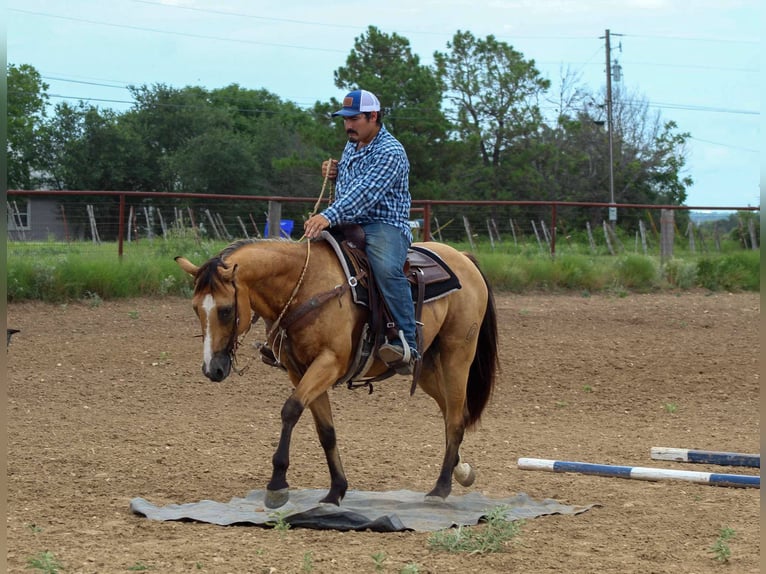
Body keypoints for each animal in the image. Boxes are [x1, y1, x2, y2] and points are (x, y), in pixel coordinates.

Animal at [175, 236, 498, 509]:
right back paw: (461, 471)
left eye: (226, 310)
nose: (212, 369)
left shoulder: (329, 362)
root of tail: (463, 257)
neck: (304, 287)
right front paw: (336, 491)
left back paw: (440, 489)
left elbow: (291, 409)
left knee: (455, 419)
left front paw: (277, 485)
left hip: (457, 356)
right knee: (453, 414)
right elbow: (326, 431)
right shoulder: (300, 371)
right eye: (195, 309)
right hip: (429, 367)